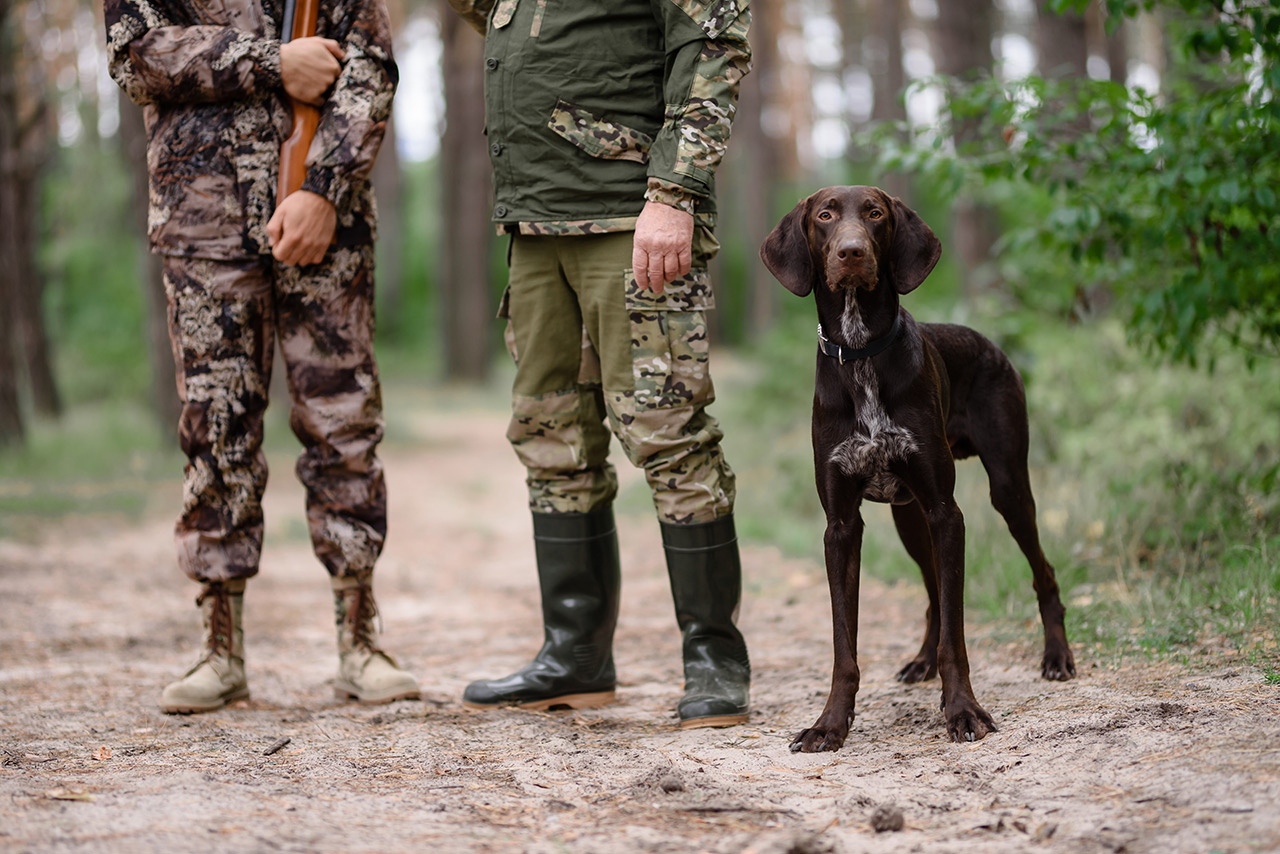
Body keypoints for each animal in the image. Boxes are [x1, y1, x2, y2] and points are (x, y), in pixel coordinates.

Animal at [762, 185, 1075, 747]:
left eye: (874, 214)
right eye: (825, 216)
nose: (852, 253)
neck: (861, 354)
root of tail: (989, 342)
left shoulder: (946, 512)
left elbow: (958, 633)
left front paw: (964, 710)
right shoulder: (842, 526)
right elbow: (845, 643)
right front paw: (830, 723)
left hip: (1006, 490)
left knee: (1043, 573)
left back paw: (1057, 655)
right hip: (909, 517)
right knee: (932, 593)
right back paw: (922, 661)